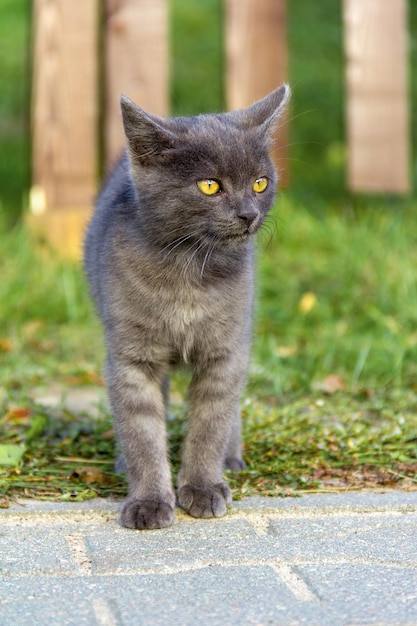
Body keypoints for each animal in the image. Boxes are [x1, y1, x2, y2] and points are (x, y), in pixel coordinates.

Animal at [83, 85, 290, 528]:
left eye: (260, 183)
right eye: (210, 186)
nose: (248, 214)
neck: (188, 271)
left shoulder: (225, 351)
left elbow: (211, 421)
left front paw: (203, 487)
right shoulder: (131, 356)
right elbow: (142, 428)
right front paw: (148, 499)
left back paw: (231, 459)